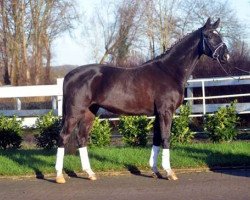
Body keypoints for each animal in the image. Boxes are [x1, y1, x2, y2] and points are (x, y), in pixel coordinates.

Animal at [54, 18, 229, 184]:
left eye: (219, 34)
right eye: (209, 36)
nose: (226, 56)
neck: (169, 71)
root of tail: (69, 75)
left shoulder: (158, 113)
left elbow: (157, 139)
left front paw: (156, 171)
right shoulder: (166, 111)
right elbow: (166, 138)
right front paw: (169, 172)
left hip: (90, 112)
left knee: (82, 138)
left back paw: (90, 173)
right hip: (75, 112)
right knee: (63, 136)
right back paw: (59, 176)